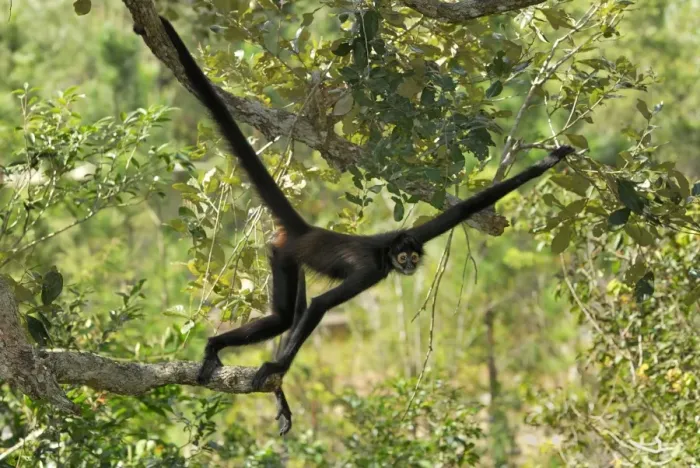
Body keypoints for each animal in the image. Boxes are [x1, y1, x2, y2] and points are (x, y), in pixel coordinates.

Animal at [149, 16, 574, 391]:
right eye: (402, 258)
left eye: (414, 256)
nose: (409, 265)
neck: (386, 251)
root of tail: (307, 229)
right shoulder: (371, 269)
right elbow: (321, 305)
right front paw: (276, 367)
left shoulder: (419, 232)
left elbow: (460, 210)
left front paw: (550, 161)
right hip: (284, 252)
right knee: (290, 315)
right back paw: (216, 348)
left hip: (285, 254)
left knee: (284, 317)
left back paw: (219, 347)